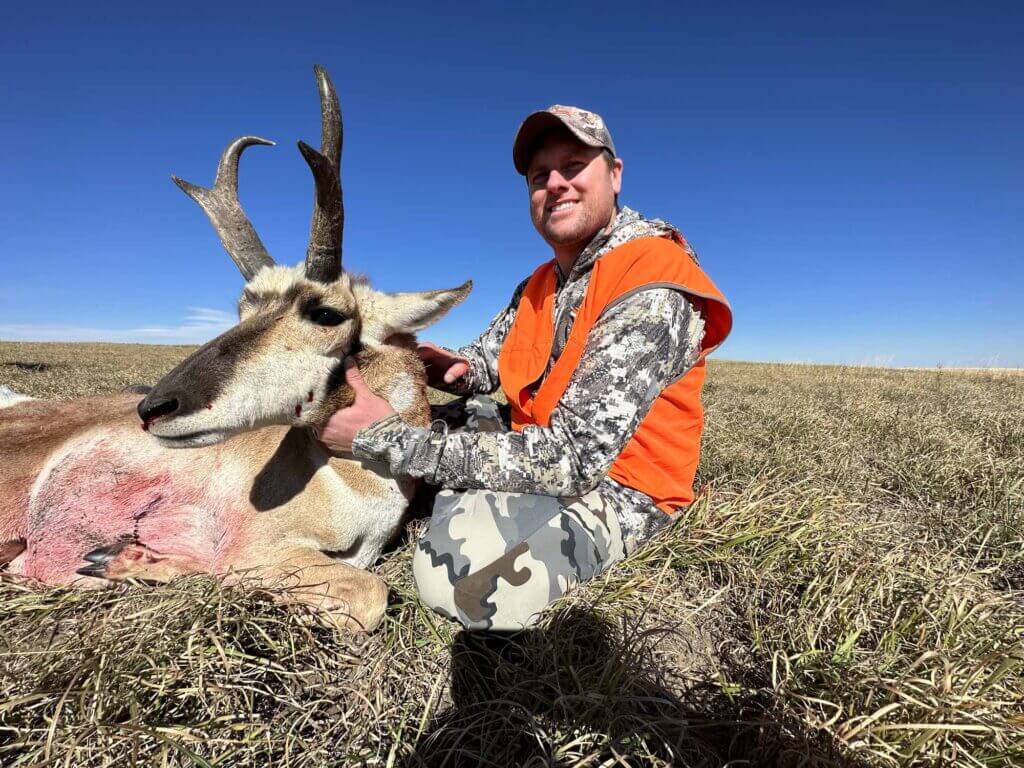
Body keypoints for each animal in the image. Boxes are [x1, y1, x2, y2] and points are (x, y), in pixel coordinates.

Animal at [0, 66, 470, 631]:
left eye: (326, 313)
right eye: (243, 309)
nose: (154, 408)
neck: (353, 482)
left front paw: (124, 560)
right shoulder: (261, 549)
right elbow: (371, 596)